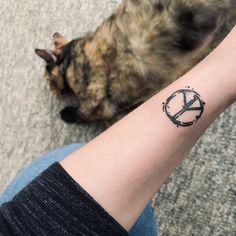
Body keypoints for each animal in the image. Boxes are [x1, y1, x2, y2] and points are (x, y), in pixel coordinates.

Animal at [35, 0, 236, 124]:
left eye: (48, 80)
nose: (52, 90)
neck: (69, 58)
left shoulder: (96, 105)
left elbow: (82, 114)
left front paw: (65, 113)